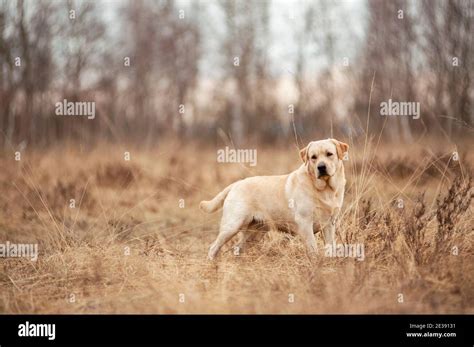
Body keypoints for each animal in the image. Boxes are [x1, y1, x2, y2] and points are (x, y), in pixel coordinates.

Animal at [200, 140, 348, 260]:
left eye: (329, 154)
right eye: (313, 157)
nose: (321, 167)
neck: (325, 190)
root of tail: (235, 184)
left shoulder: (329, 224)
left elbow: (330, 246)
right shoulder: (305, 222)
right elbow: (313, 248)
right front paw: (316, 263)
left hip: (254, 233)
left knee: (238, 248)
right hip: (232, 225)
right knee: (213, 247)